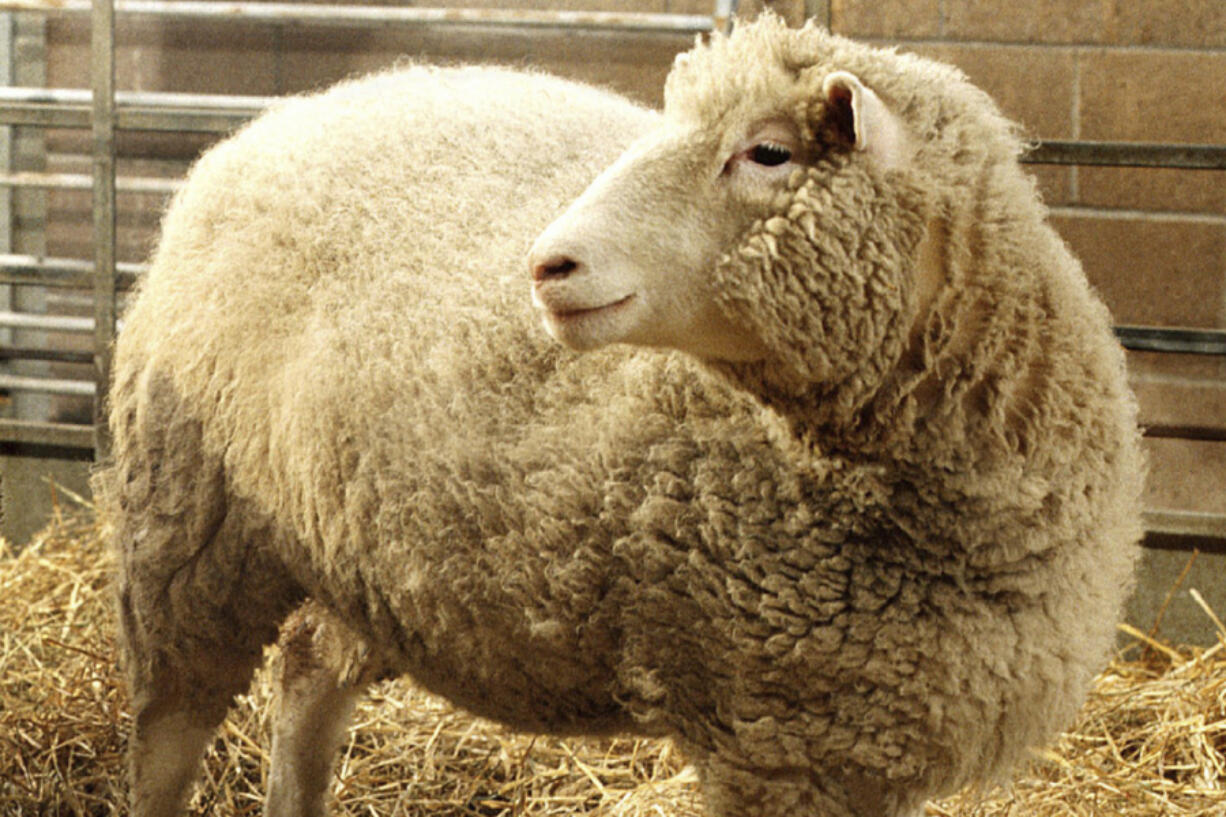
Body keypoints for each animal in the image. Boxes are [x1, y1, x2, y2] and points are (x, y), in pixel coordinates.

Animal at [100, 14, 1142, 814]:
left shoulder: (861, 744)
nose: (546, 264)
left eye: (768, 152)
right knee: (169, 733)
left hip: (363, 549)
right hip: (191, 521)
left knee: (309, 672)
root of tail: (274, 122)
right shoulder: (775, 743)